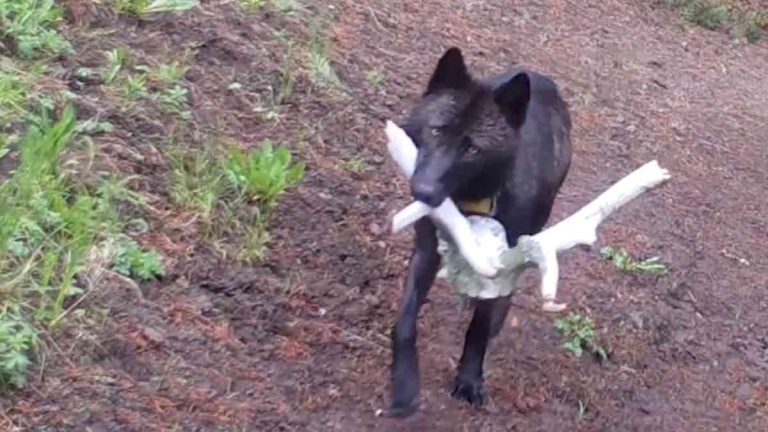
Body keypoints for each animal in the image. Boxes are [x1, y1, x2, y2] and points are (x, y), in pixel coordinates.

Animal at [389, 47, 572, 417]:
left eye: (473, 149)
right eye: (436, 131)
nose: (423, 191)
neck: (469, 205)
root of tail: (540, 79)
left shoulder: (500, 263)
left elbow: (478, 329)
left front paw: (469, 380)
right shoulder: (425, 252)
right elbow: (405, 320)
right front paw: (403, 384)